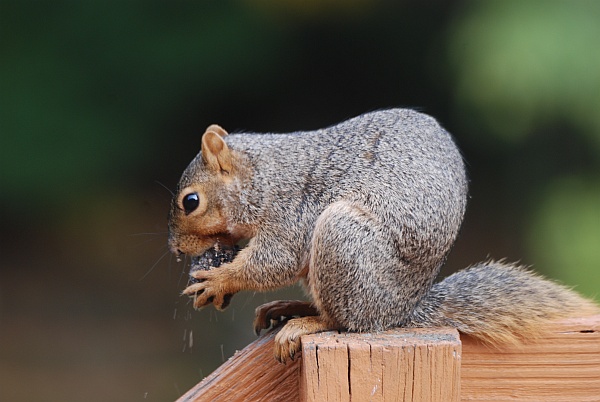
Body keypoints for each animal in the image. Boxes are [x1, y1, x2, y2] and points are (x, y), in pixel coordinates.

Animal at [166, 108, 596, 362]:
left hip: (341, 238)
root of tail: (399, 312)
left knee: (346, 322)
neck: (261, 177)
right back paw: (292, 308)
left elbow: (277, 260)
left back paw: (308, 322)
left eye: (191, 201)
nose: (174, 250)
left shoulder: (292, 212)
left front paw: (219, 279)